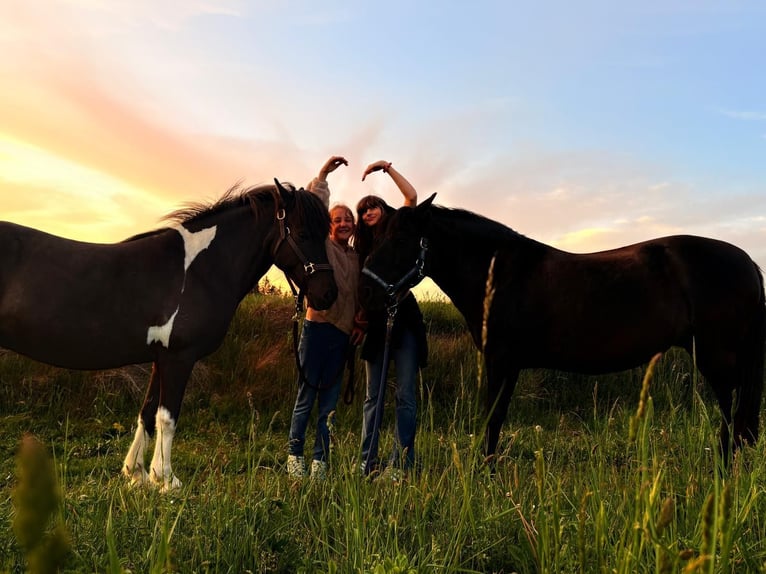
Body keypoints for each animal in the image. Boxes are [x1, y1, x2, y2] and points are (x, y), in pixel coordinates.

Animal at [0, 181, 337, 490]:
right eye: (303, 234)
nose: (329, 295)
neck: (198, 271)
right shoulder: (179, 358)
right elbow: (167, 417)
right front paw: (165, 479)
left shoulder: (159, 358)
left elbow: (147, 413)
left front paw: (136, 474)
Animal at [360, 193, 765, 464]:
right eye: (376, 236)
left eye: (400, 239)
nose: (365, 290)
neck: (499, 272)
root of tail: (748, 261)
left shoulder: (502, 363)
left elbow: (493, 419)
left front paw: (485, 473)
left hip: (717, 358)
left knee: (731, 417)